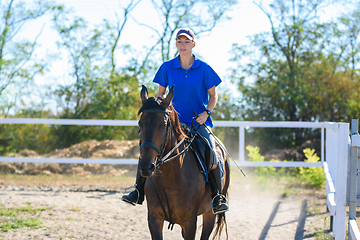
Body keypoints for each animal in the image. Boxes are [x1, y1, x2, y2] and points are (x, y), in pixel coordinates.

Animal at [136, 85, 229, 239]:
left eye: (164, 125)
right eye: (140, 124)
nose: (146, 167)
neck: (170, 178)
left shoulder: (190, 223)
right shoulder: (154, 219)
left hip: (209, 213)